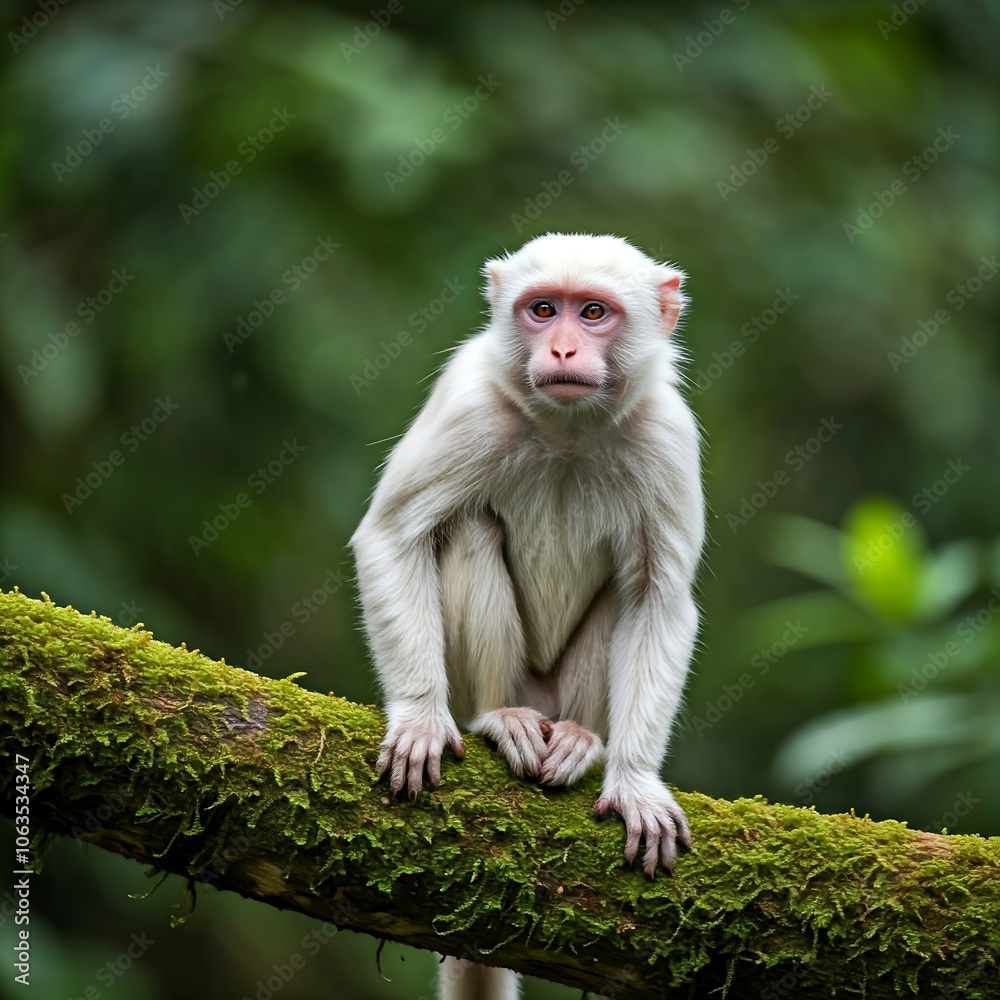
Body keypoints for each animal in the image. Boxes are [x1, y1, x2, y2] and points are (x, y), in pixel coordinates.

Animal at [350, 232, 704, 1000]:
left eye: (593, 312)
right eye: (543, 309)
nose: (563, 348)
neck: (568, 429)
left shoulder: (667, 436)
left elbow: (658, 599)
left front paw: (634, 778)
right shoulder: (468, 405)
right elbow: (392, 538)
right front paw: (419, 716)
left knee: (626, 592)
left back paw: (578, 740)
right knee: (468, 527)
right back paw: (499, 718)